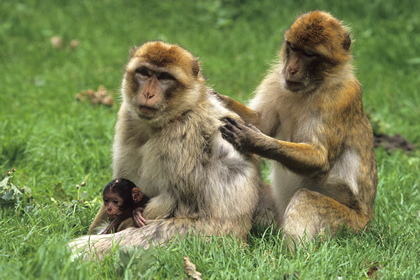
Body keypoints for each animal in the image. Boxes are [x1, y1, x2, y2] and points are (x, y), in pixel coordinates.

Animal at [70, 41, 260, 256]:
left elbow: (178, 200)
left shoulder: (180, 137)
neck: (176, 114)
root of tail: (241, 236)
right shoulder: (128, 119)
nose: (148, 94)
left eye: (164, 78)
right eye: (144, 73)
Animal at [218, 10, 378, 243]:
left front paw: (254, 140)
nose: (292, 69)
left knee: (305, 198)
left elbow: (320, 159)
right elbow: (261, 121)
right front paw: (213, 95)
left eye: (309, 54)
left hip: (351, 226)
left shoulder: (340, 98)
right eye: (293, 47)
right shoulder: (276, 81)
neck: (313, 87)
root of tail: (369, 219)